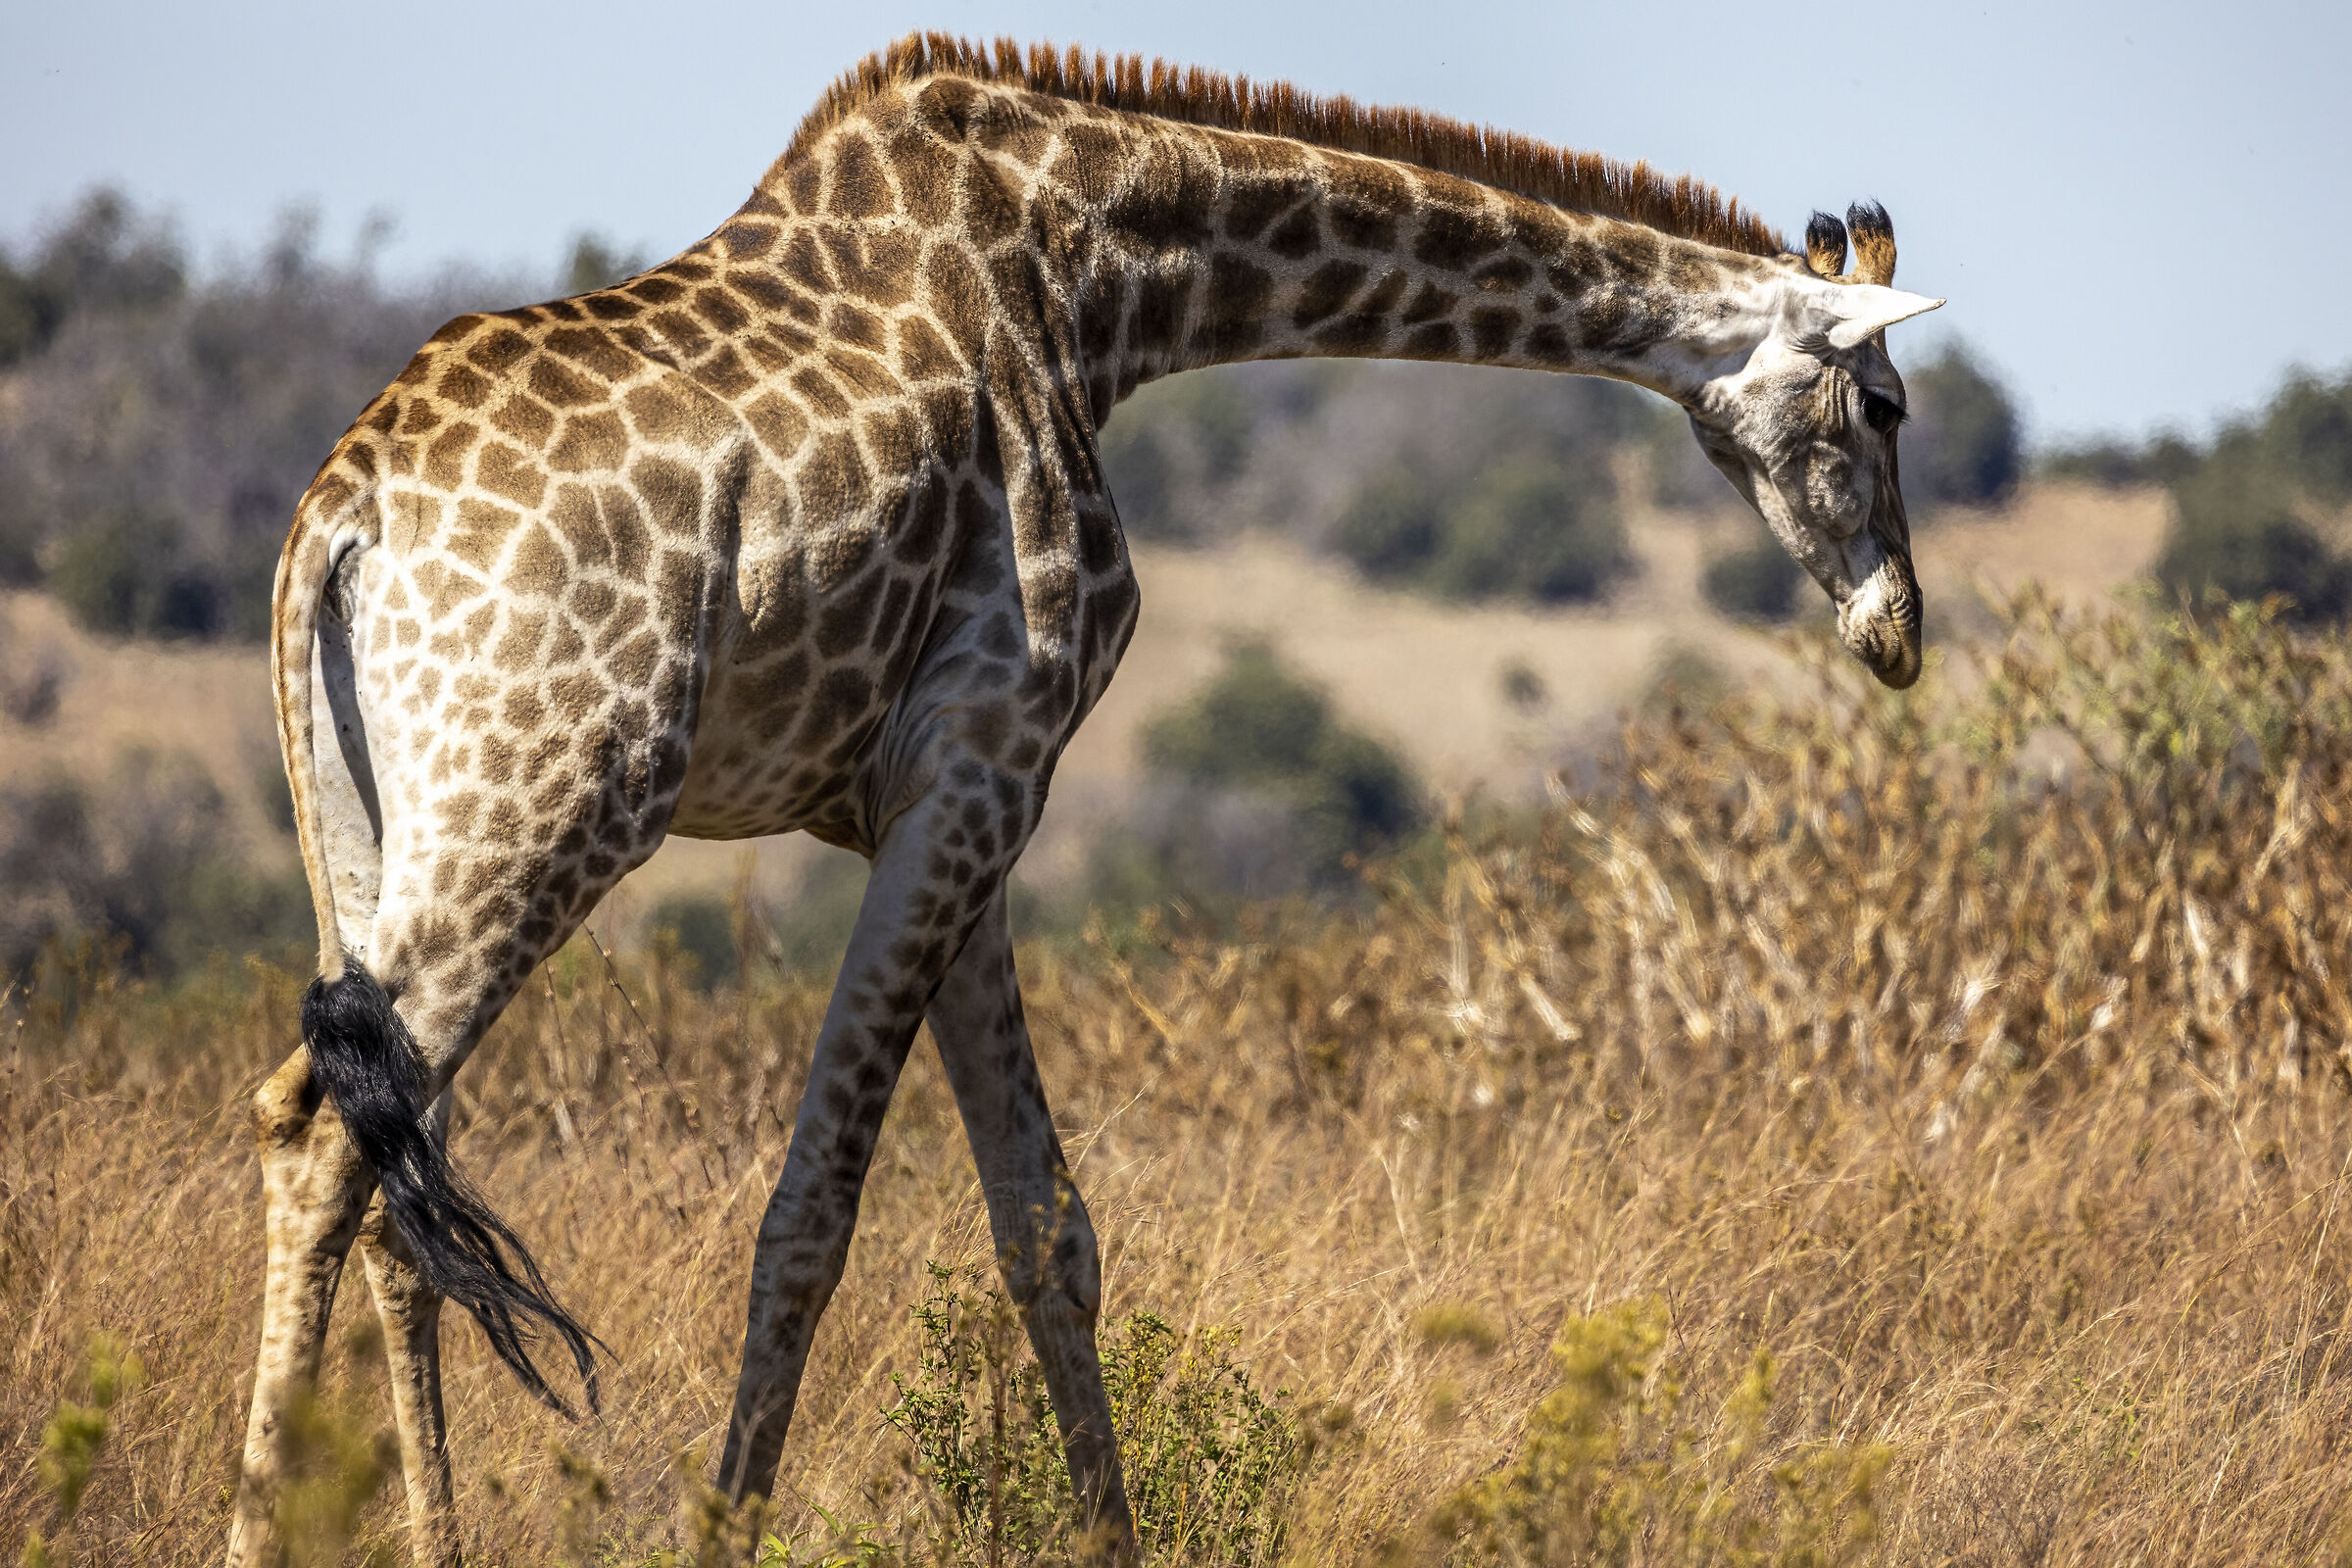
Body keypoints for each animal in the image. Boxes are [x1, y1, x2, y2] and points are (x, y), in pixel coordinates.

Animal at [228, 33, 1942, 1565]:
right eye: (1888, 407)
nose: (1900, 630)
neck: (1098, 286)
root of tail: (338, 522)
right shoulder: (986, 762)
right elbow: (813, 1216)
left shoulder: (943, 799)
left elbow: (1047, 1226)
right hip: (545, 803)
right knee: (328, 1138)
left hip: (371, 832)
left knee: (383, 1164)